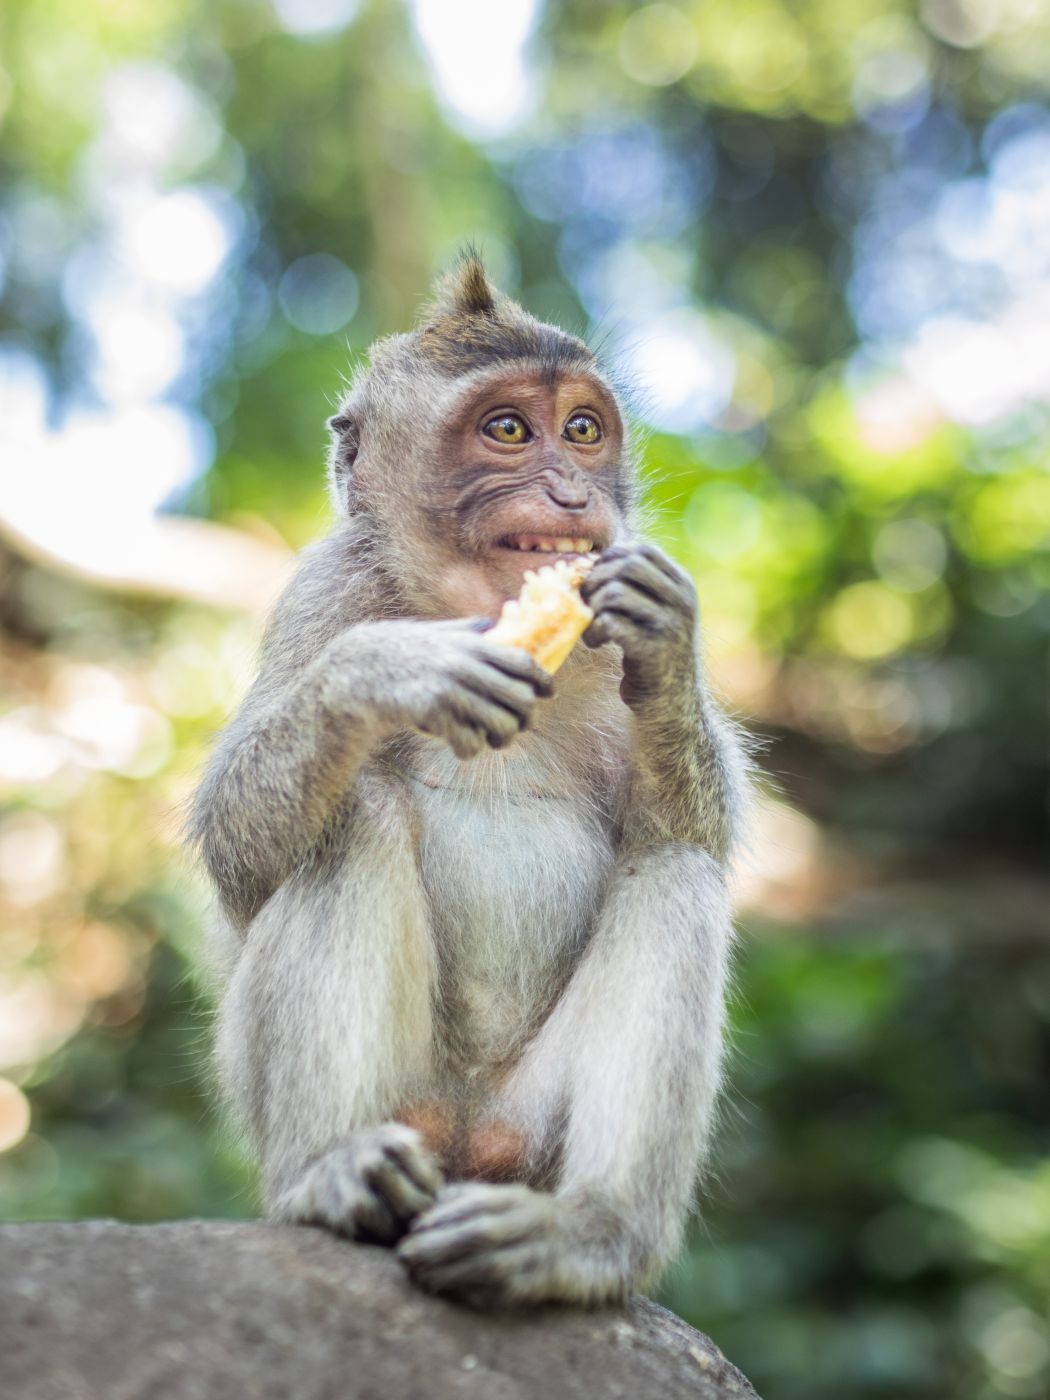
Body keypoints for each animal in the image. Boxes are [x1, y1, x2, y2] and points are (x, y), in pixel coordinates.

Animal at [190, 256, 750, 1308]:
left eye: (583, 430)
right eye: (508, 431)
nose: (572, 495)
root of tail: (461, 1134)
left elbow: (692, 830)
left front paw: (668, 639)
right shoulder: (322, 592)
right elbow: (236, 854)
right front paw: (385, 673)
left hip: (528, 1131)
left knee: (677, 874)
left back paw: (586, 1236)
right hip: (370, 1097)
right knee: (351, 820)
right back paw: (331, 1175)